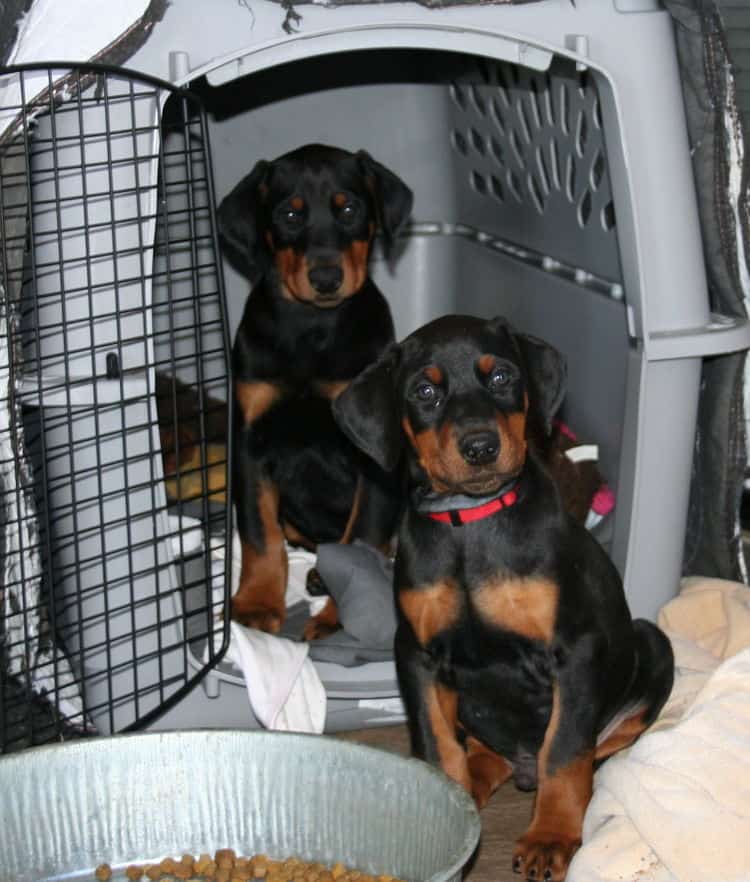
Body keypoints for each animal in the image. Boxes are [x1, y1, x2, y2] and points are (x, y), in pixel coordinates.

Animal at [220, 146, 414, 640]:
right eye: (289, 214)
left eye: (349, 209)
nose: (326, 277)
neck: (313, 329)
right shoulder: (251, 440)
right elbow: (259, 534)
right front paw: (256, 603)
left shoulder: (372, 449)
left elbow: (362, 535)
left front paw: (339, 614)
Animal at [334, 316, 676, 880]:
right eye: (424, 392)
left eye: (501, 378)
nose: (479, 447)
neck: (470, 524)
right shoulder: (417, 653)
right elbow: (435, 741)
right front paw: (443, 807)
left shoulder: (575, 651)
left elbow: (564, 752)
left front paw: (551, 838)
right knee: (480, 748)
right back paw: (473, 782)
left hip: (652, 645)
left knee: (591, 749)